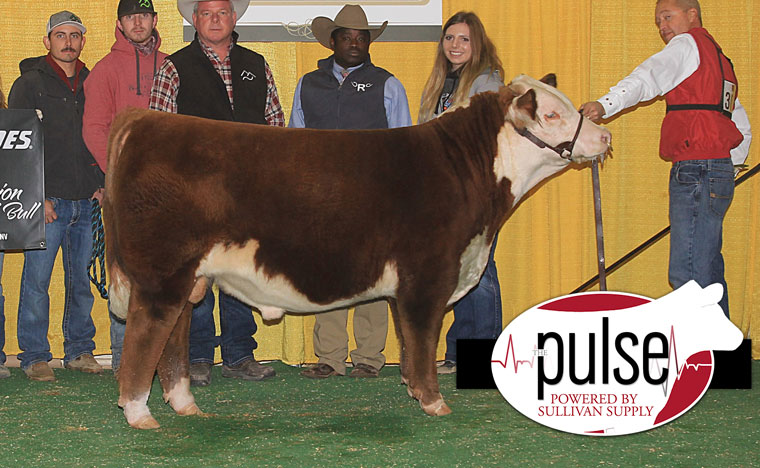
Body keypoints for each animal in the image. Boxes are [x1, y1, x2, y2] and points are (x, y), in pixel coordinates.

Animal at [104, 73, 612, 428]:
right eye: (552, 115)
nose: (604, 137)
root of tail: (145, 120)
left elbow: (409, 343)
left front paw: (412, 389)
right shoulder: (428, 275)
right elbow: (423, 339)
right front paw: (435, 404)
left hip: (187, 277)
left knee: (173, 337)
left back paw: (185, 407)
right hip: (161, 274)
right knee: (145, 337)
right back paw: (139, 414)